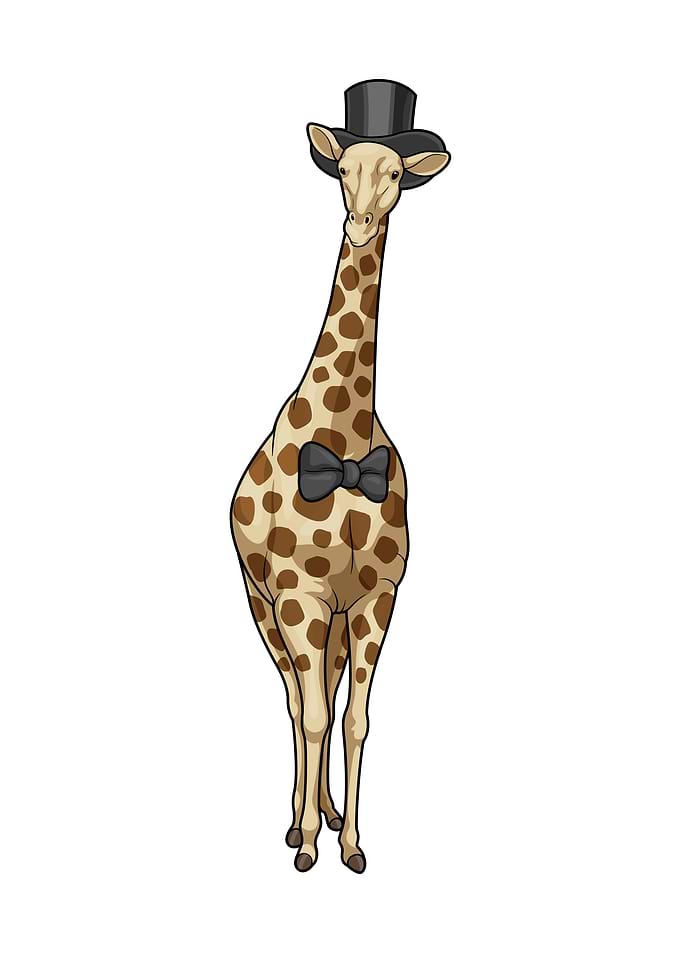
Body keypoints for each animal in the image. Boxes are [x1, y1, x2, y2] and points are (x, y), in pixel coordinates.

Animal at [231, 86, 449, 873]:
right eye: (344, 170)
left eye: (396, 175)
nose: (358, 222)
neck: (348, 445)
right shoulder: (299, 594)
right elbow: (316, 714)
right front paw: (306, 846)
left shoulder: (375, 597)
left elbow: (354, 718)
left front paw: (350, 843)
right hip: (261, 603)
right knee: (297, 702)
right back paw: (297, 823)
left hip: (326, 619)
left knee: (317, 692)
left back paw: (321, 812)